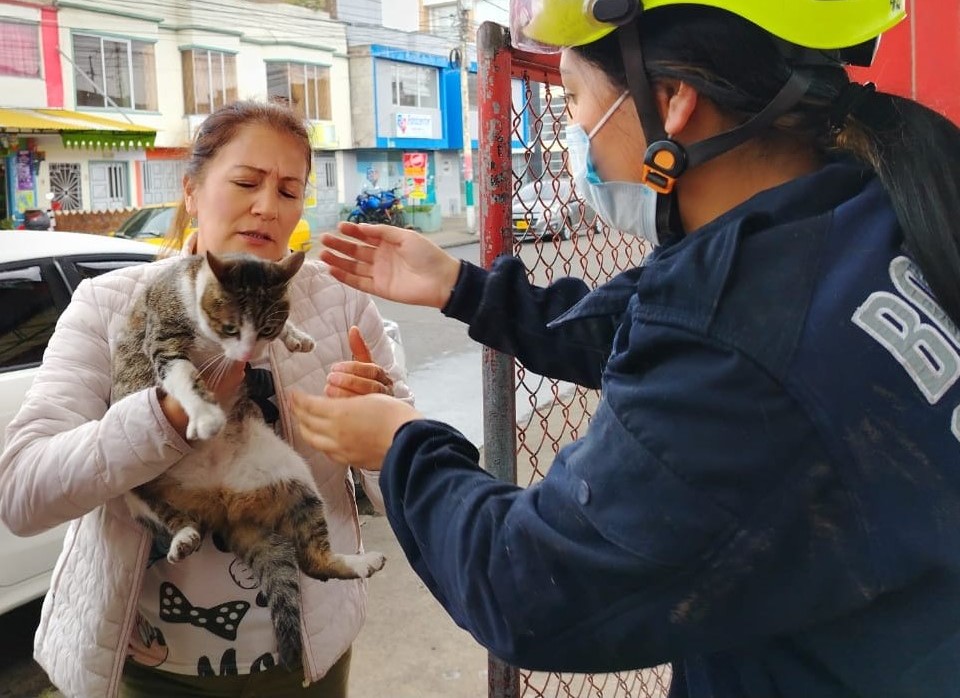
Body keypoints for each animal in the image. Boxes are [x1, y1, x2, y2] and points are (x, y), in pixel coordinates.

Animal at [110, 251, 384, 668]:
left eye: (267, 327)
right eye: (229, 327)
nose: (247, 355)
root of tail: (224, 505)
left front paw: (296, 336)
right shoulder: (164, 337)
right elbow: (185, 375)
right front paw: (205, 414)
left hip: (293, 475)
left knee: (312, 560)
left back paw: (360, 562)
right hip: (133, 485)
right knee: (163, 511)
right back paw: (183, 537)